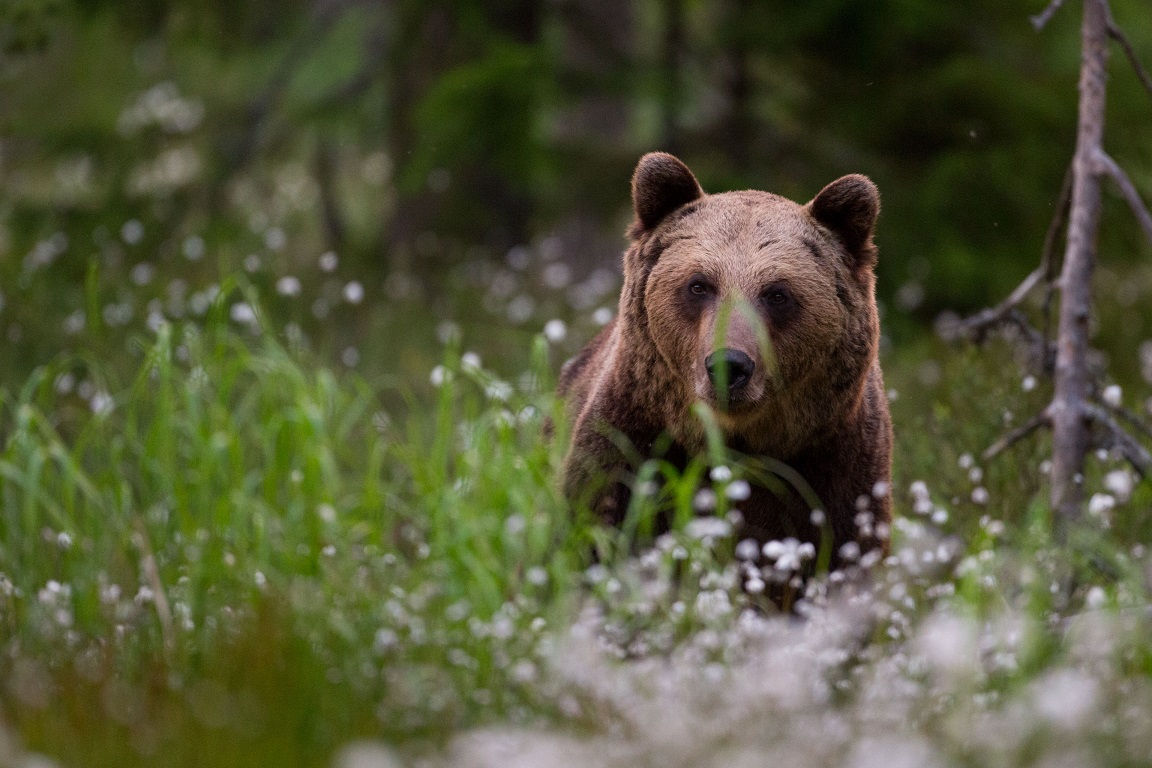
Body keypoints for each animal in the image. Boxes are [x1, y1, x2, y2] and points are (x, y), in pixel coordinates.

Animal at [557, 151, 889, 571]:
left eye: (777, 293)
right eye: (699, 284)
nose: (729, 365)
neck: (735, 444)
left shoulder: (838, 470)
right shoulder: (630, 444)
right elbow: (592, 528)